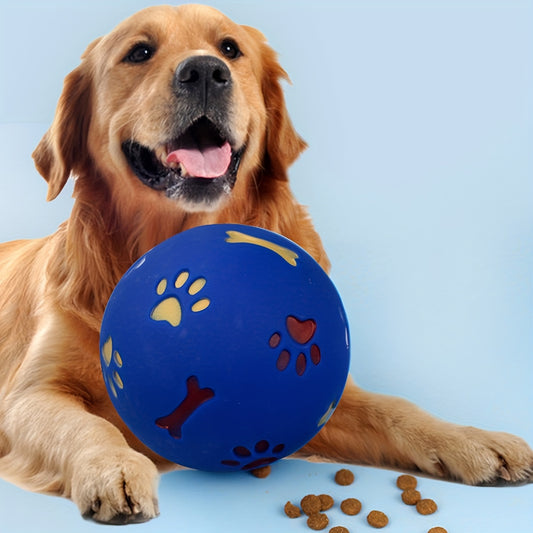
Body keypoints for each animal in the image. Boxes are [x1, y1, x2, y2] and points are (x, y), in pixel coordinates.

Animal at [0, 3, 528, 524]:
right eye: (139, 52)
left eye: (230, 49)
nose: (205, 71)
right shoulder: (30, 395)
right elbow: (87, 427)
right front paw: (113, 467)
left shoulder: (328, 397)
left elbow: (395, 408)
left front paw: (471, 440)